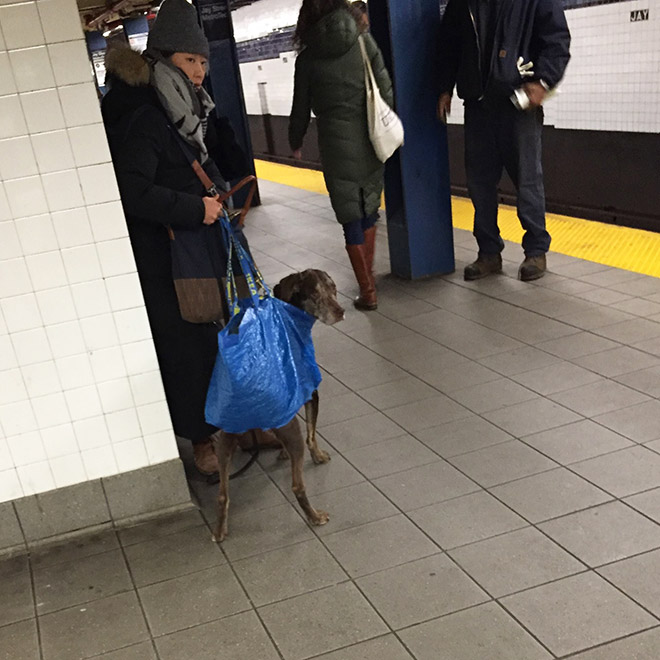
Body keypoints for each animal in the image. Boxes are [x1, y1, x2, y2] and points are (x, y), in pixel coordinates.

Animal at [206, 213, 342, 540]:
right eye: (315, 294)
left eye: (334, 289)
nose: (341, 311)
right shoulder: (311, 393)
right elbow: (312, 433)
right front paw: (318, 455)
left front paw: (280, 453)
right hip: (288, 433)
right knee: (297, 485)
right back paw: (315, 516)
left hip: (225, 442)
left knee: (222, 495)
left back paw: (220, 530)